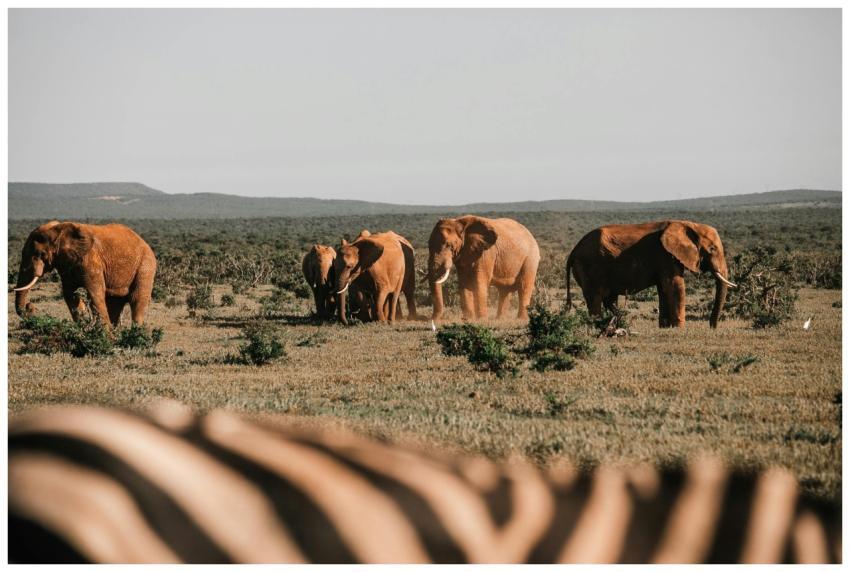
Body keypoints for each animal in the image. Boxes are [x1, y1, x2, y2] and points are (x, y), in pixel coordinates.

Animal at [14, 221, 157, 328]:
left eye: (39, 254)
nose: (30, 306)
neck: (60, 229)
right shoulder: (66, 263)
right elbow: (70, 294)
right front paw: (83, 327)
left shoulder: (91, 259)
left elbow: (95, 293)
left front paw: (105, 337)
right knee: (115, 303)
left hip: (146, 266)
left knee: (137, 300)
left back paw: (136, 333)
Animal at [565, 220, 737, 328]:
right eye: (712, 249)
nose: (712, 327)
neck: (688, 224)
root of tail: (574, 250)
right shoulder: (666, 254)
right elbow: (674, 286)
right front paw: (680, 329)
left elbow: (663, 289)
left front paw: (666, 328)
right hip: (589, 266)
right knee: (595, 298)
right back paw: (598, 326)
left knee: (609, 298)